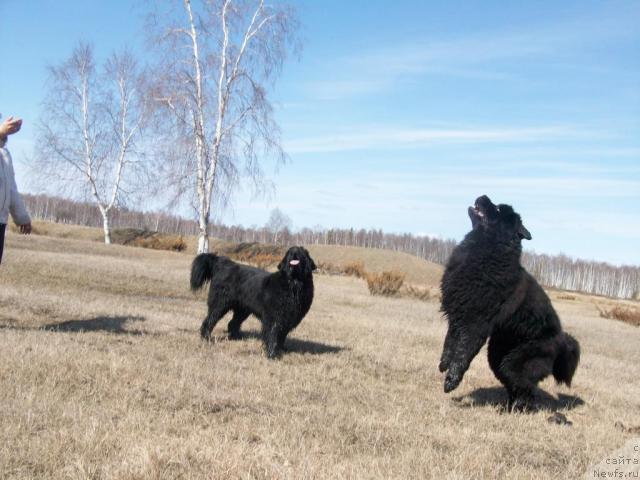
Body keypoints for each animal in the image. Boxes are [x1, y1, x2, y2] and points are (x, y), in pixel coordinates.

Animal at [440, 193, 580, 410]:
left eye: (497, 209)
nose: (483, 196)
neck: (487, 249)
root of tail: (562, 342)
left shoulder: (475, 324)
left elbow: (463, 352)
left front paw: (451, 381)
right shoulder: (458, 315)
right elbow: (450, 341)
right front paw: (443, 363)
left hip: (518, 361)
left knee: (526, 388)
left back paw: (519, 409)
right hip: (498, 356)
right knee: (516, 386)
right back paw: (508, 408)